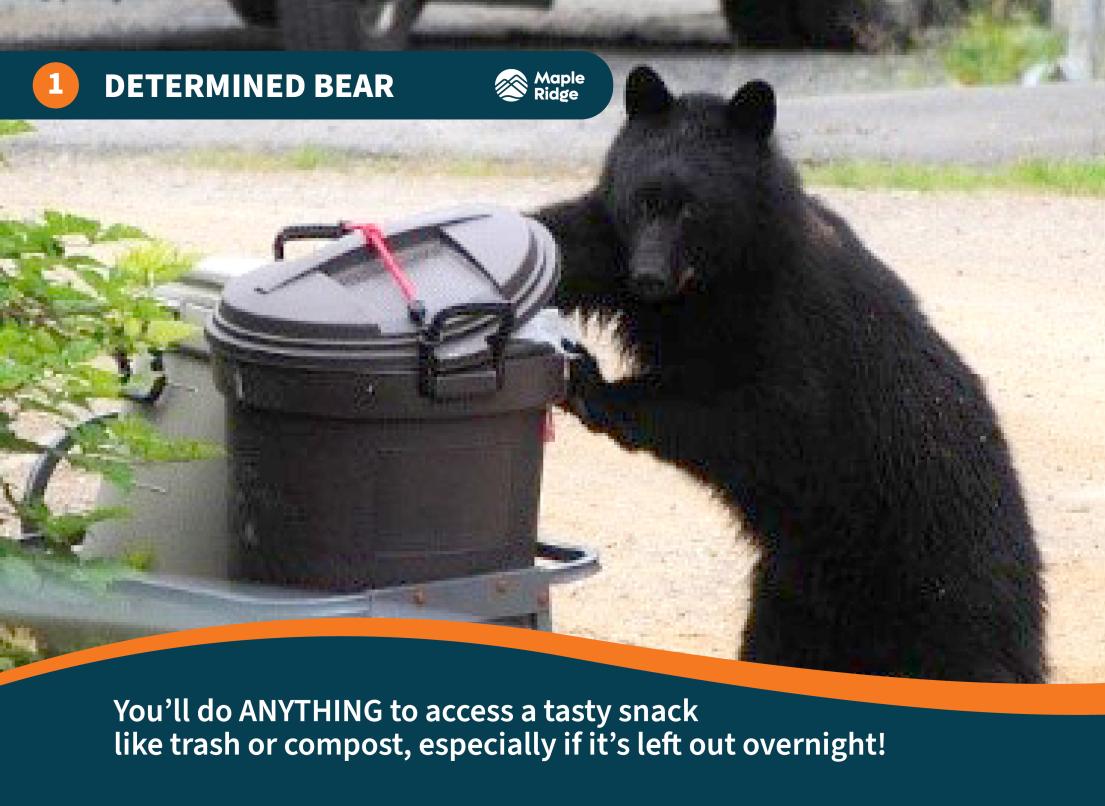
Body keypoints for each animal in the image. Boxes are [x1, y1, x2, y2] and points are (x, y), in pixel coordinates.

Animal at [534, 66, 1045, 682]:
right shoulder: (616, 244)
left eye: (692, 209)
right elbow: (567, 242)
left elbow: (767, 417)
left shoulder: (792, 321)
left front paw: (597, 389)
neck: (715, 281)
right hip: (791, 598)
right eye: (643, 201)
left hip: (946, 597)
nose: (649, 277)